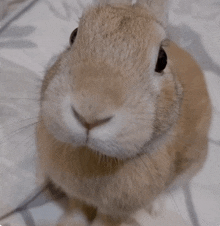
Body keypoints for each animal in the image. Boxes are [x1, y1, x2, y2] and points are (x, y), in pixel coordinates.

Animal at [35, 0, 211, 225]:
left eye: (162, 59)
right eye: (74, 35)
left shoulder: (115, 211)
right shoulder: (77, 197)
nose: (89, 114)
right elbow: (77, 210)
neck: (94, 156)